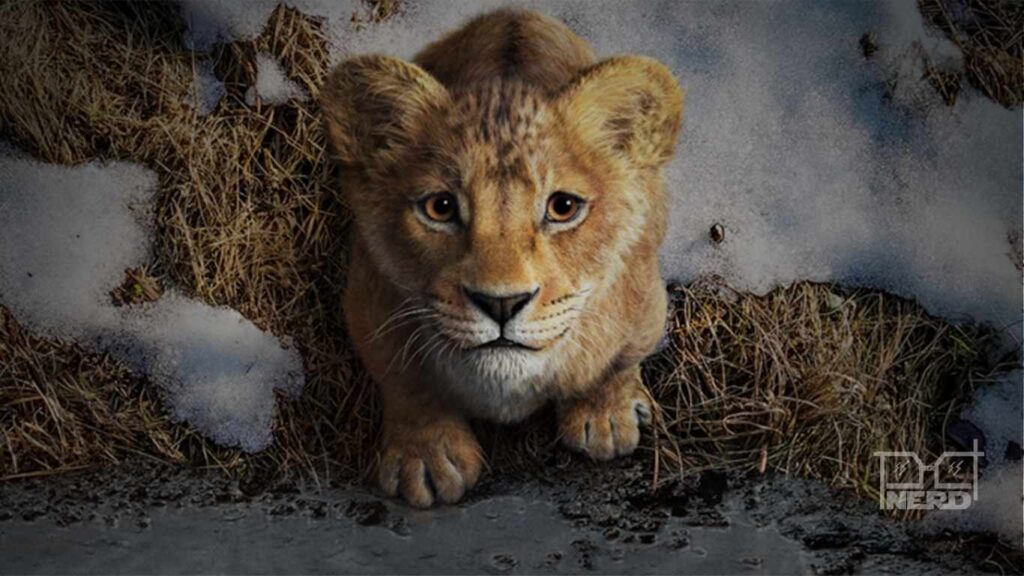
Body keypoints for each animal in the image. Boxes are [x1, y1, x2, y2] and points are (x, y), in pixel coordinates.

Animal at [321, 8, 684, 507]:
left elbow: (617, 361)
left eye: (563, 207)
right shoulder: (368, 303)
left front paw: (605, 417)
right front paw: (427, 457)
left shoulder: (645, 302)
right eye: (440, 207)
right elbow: (406, 382)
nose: (501, 303)